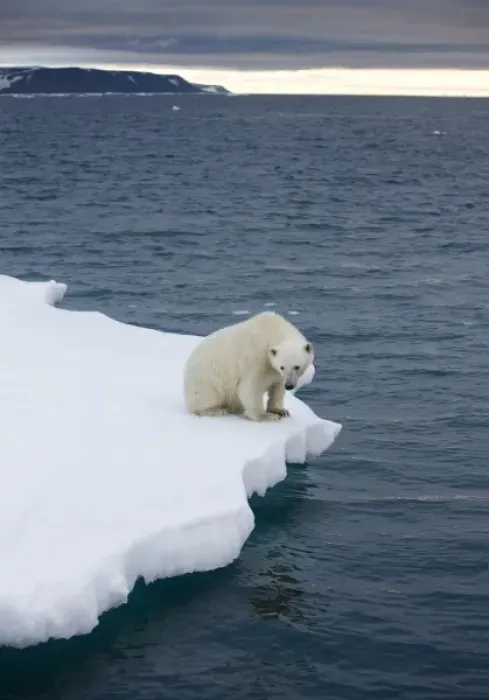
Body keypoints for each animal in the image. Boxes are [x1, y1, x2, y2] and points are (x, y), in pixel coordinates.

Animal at [183, 311, 314, 422]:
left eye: (297, 367)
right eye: (282, 367)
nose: (289, 386)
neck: (272, 330)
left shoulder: (275, 371)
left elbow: (277, 387)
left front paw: (281, 411)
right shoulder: (256, 360)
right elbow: (250, 387)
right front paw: (266, 416)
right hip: (207, 380)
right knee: (206, 398)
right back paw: (216, 410)